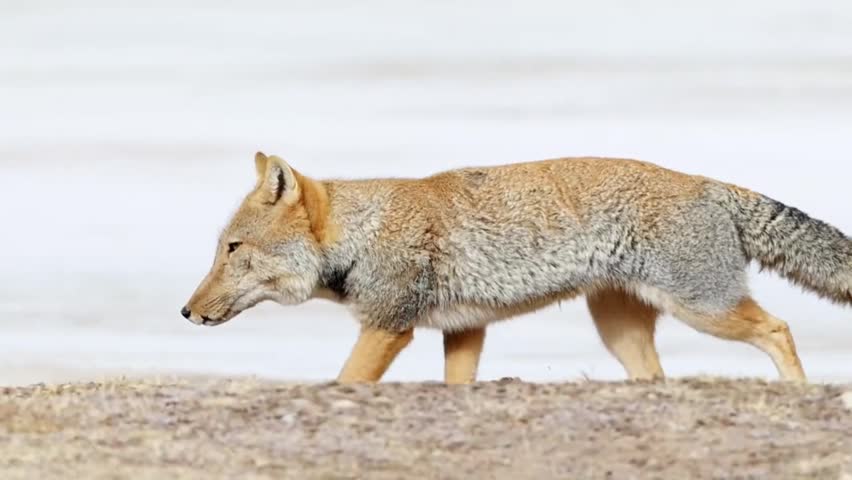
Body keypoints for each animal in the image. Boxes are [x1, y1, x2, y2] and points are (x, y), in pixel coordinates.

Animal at [182, 152, 852, 384]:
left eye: (232, 250)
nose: (186, 312)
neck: (363, 233)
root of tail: (708, 181)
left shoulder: (388, 327)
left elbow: (347, 380)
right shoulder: (463, 331)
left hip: (704, 309)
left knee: (779, 329)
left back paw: (800, 392)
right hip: (621, 331)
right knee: (657, 377)